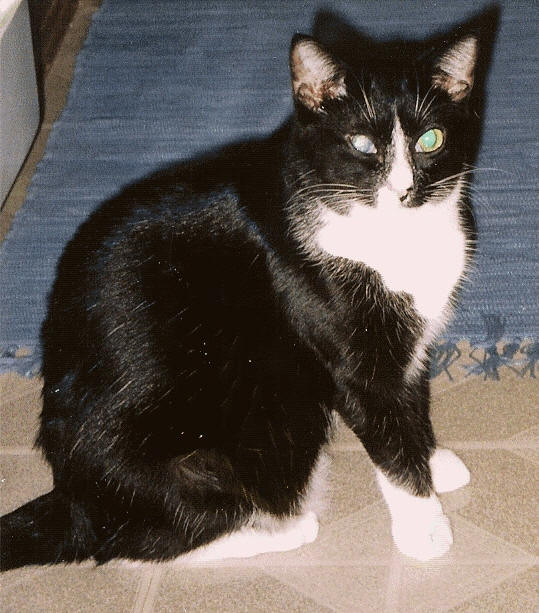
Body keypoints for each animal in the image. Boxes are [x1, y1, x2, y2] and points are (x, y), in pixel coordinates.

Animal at [1, 12, 495, 570]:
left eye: (431, 139)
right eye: (363, 145)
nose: (405, 190)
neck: (396, 237)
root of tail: (74, 502)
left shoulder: (409, 346)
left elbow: (411, 405)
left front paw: (433, 462)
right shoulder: (354, 357)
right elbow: (389, 436)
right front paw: (424, 525)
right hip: (227, 450)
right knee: (140, 545)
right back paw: (286, 528)